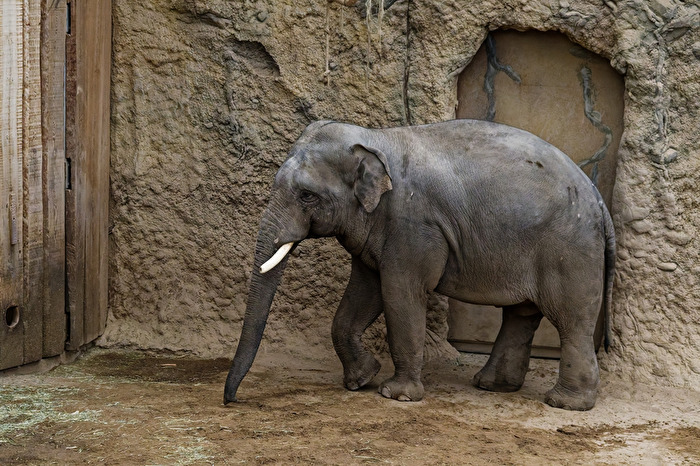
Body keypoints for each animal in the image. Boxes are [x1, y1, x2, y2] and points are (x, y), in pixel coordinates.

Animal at [224, 119, 615, 411]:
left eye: (307, 195)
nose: (232, 401)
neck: (375, 138)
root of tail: (598, 198)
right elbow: (365, 293)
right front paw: (362, 379)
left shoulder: (414, 225)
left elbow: (401, 292)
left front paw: (395, 396)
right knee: (521, 315)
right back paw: (491, 386)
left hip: (570, 247)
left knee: (570, 320)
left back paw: (564, 403)